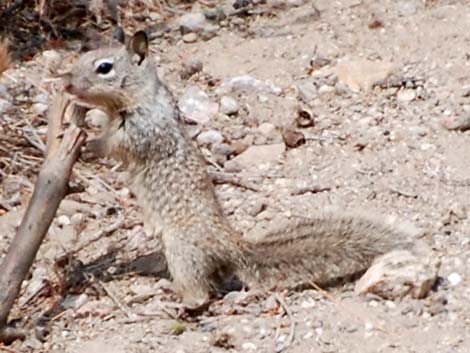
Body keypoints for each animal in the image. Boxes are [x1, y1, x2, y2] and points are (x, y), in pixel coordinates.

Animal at [63, 30, 412, 304]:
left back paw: (172, 299)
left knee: (199, 293)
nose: (67, 85)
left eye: (104, 67)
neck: (134, 99)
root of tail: (231, 246)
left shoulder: (143, 130)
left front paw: (90, 145)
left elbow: (117, 146)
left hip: (181, 251)